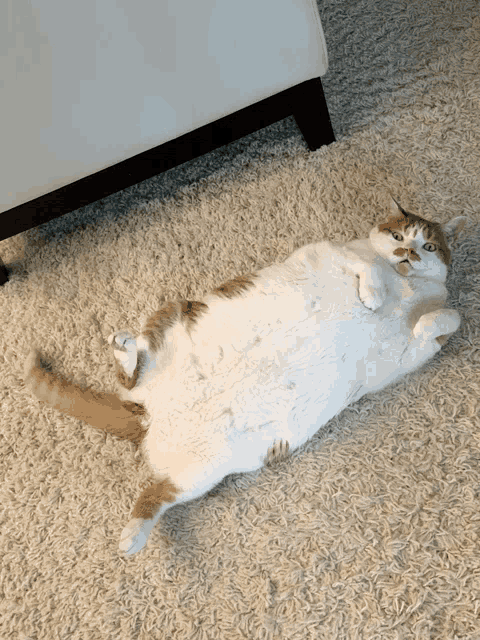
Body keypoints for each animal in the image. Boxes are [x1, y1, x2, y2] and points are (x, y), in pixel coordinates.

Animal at [24, 199, 466, 556]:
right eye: (397, 235)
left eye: (428, 246)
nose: (407, 252)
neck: (404, 285)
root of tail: (148, 416)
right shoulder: (330, 250)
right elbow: (370, 263)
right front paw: (372, 294)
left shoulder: (407, 355)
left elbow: (450, 316)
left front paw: (427, 313)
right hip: (172, 323)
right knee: (129, 376)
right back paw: (125, 351)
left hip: (199, 474)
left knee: (153, 494)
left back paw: (133, 535)